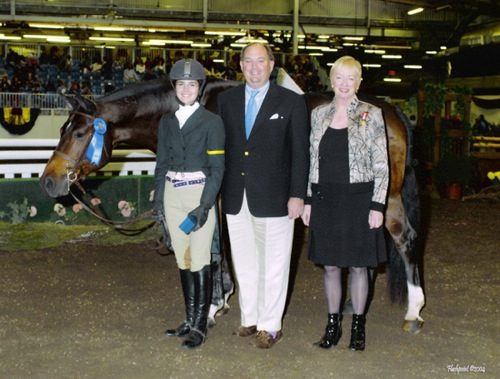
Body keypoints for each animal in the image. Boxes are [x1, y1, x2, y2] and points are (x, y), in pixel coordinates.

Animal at [40, 78, 426, 334]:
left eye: (79, 133)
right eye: (61, 129)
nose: (49, 180)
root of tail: (392, 111)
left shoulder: (217, 197)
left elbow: (215, 250)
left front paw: (213, 305)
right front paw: (221, 300)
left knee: (400, 240)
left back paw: (408, 311)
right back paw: (369, 306)